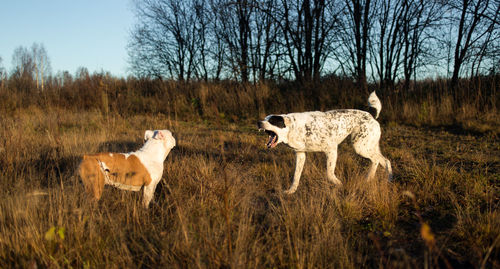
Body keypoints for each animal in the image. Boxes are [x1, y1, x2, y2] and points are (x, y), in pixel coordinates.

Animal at [258, 91, 394, 193]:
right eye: (265, 119)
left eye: (272, 121)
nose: (258, 123)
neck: (294, 127)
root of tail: (370, 115)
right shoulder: (300, 154)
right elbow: (296, 176)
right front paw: (291, 191)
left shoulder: (331, 150)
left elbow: (329, 173)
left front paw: (339, 183)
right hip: (368, 146)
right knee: (385, 161)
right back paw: (387, 180)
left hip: (360, 147)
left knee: (376, 160)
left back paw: (369, 179)